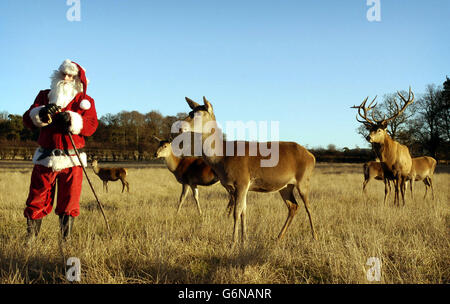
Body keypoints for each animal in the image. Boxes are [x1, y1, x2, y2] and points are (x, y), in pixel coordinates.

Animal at [178, 97, 318, 249]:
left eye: (197, 114)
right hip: (286, 186)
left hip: (303, 180)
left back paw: (315, 237)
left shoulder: (242, 182)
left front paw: (233, 243)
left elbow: (236, 212)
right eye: (190, 111)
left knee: (309, 207)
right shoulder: (240, 187)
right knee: (293, 206)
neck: (222, 158)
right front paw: (244, 240)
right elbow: (244, 212)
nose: (179, 126)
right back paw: (278, 238)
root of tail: (312, 157)